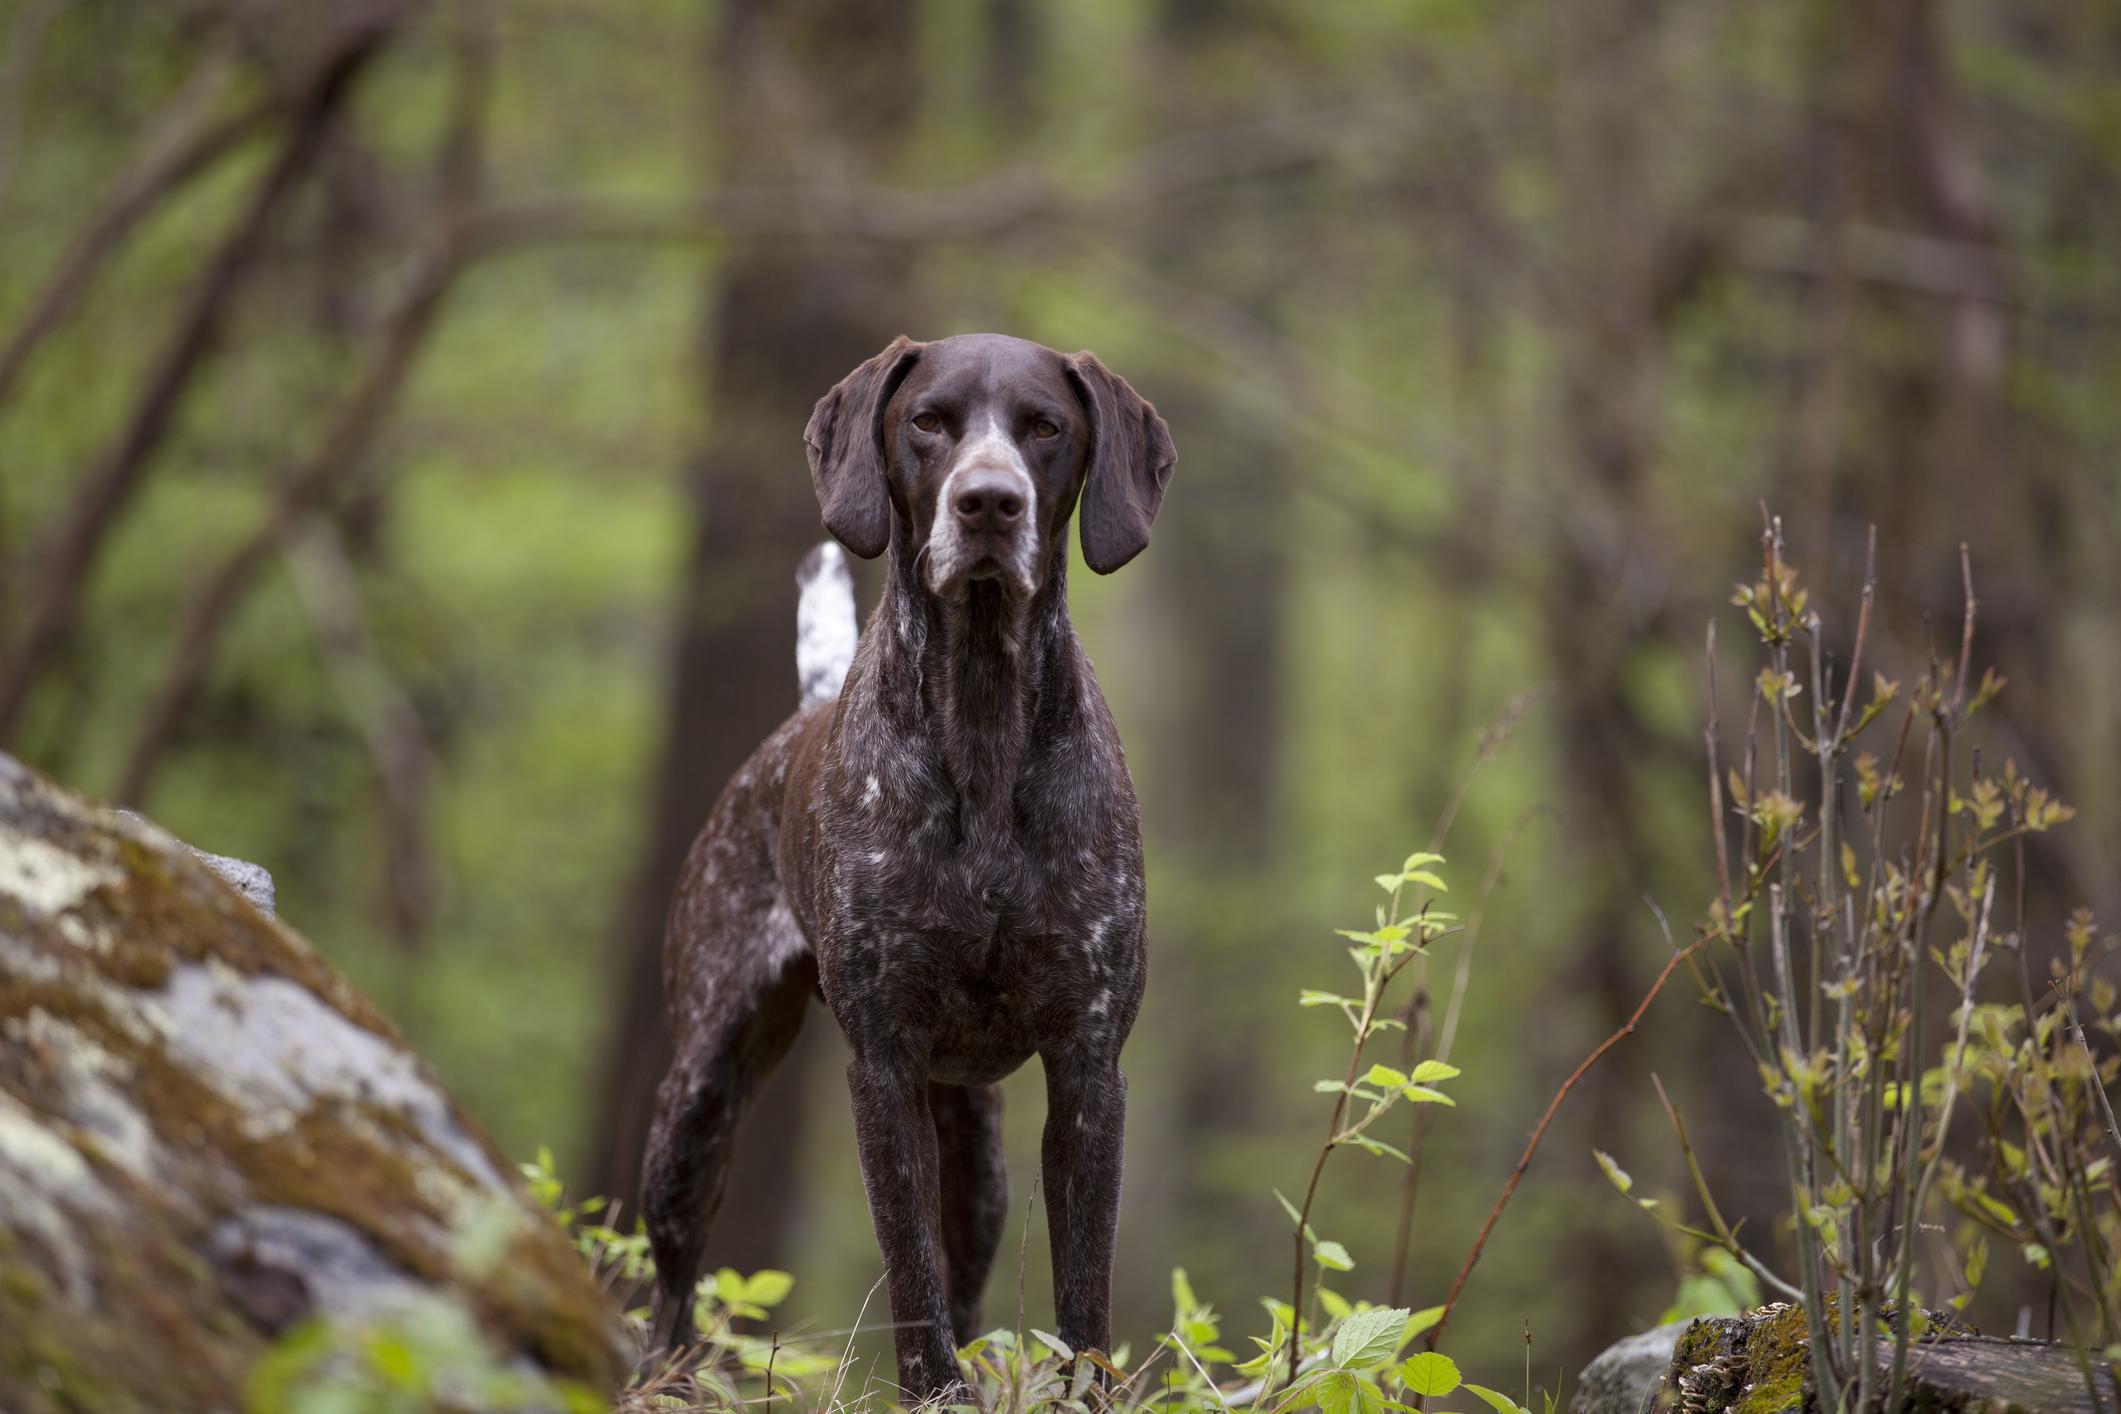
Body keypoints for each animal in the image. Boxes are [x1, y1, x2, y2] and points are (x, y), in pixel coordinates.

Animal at [636, 334, 1187, 1407]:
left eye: (1044, 428)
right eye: (929, 421)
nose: (988, 503)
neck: (981, 717)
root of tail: (793, 721)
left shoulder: (1088, 1070)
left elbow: (1082, 1297)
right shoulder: (882, 1069)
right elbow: (908, 1278)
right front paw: (933, 1392)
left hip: (978, 1159)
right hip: (698, 1098)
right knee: (667, 1295)